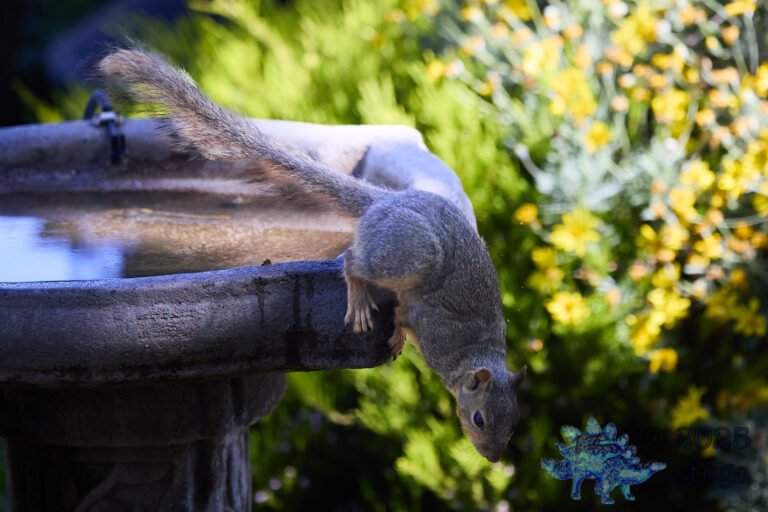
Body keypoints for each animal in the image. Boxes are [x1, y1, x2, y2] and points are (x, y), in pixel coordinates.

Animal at [97, 48, 526, 462]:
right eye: (478, 418)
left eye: (514, 425)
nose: (492, 458)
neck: (473, 352)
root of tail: (384, 200)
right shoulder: (436, 331)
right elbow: (407, 315)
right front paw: (399, 332)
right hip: (410, 256)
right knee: (354, 261)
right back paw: (358, 294)